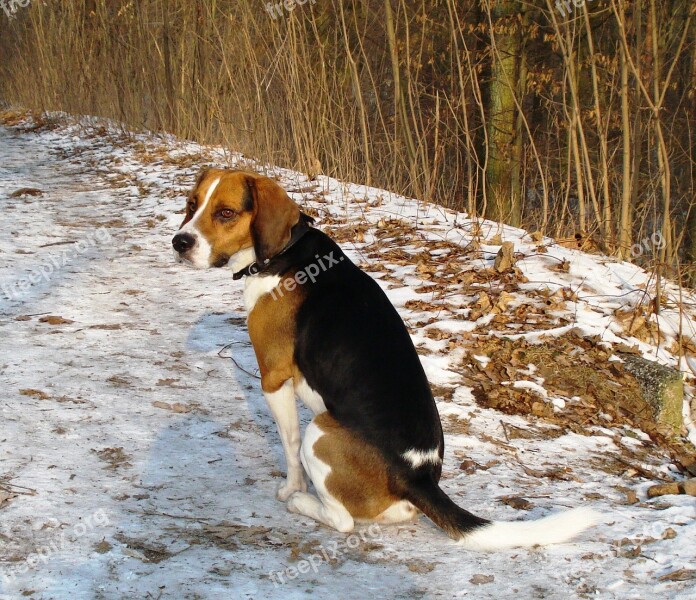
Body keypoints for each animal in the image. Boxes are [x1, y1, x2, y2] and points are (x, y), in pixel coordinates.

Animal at [170, 168, 600, 548]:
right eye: (192, 204)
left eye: (226, 213)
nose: (179, 242)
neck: (284, 253)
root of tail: (419, 477)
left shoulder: (273, 377)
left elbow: (288, 444)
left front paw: (290, 488)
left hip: (321, 432)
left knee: (342, 519)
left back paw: (303, 502)